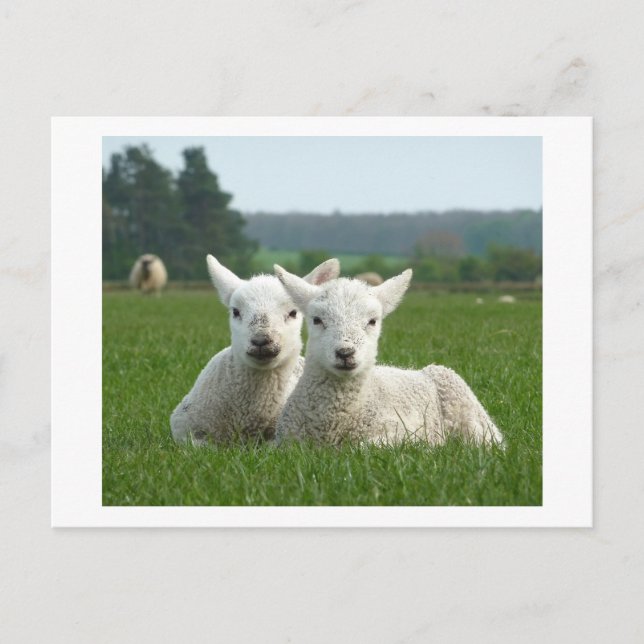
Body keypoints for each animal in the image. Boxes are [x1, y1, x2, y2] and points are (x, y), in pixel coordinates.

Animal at [273, 266, 503, 447]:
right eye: (317, 320)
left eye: (373, 321)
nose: (345, 353)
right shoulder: (285, 442)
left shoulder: (403, 434)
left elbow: (363, 447)